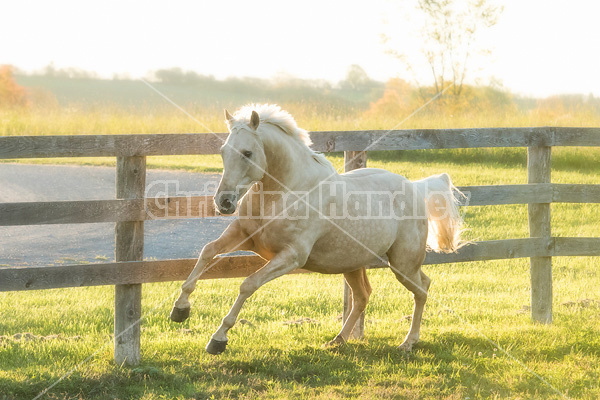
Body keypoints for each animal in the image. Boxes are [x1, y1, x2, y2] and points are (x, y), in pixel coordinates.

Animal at [170, 104, 464, 354]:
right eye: (223, 151)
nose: (224, 202)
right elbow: (208, 252)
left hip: (403, 263)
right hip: (352, 263)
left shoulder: (292, 256)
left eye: (248, 153)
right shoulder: (244, 237)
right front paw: (180, 310)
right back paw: (338, 340)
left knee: (422, 289)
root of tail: (415, 187)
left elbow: (247, 284)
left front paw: (218, 339)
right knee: (363, 296)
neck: (285, 193)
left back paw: (407, 343)